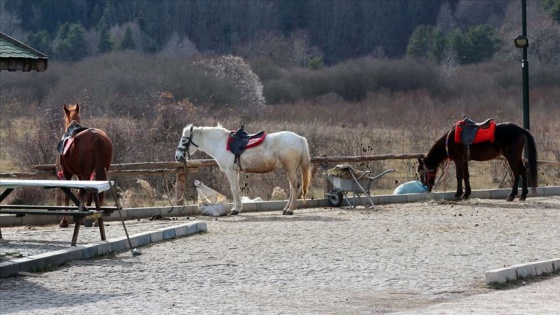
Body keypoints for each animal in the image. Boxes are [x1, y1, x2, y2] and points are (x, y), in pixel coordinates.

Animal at [175, 124, 312, 216]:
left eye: (183, 139)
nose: (178, 156)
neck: (221, 144)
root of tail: (299, 138)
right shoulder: (235, 172)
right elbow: (236, 190)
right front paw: (237, 208)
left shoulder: (230, 172)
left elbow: (234, 189)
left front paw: (235, 210)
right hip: (290, 169)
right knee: (292, 187)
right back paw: (286, 209)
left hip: (290, 169)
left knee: (294, 186)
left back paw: (290, 210)